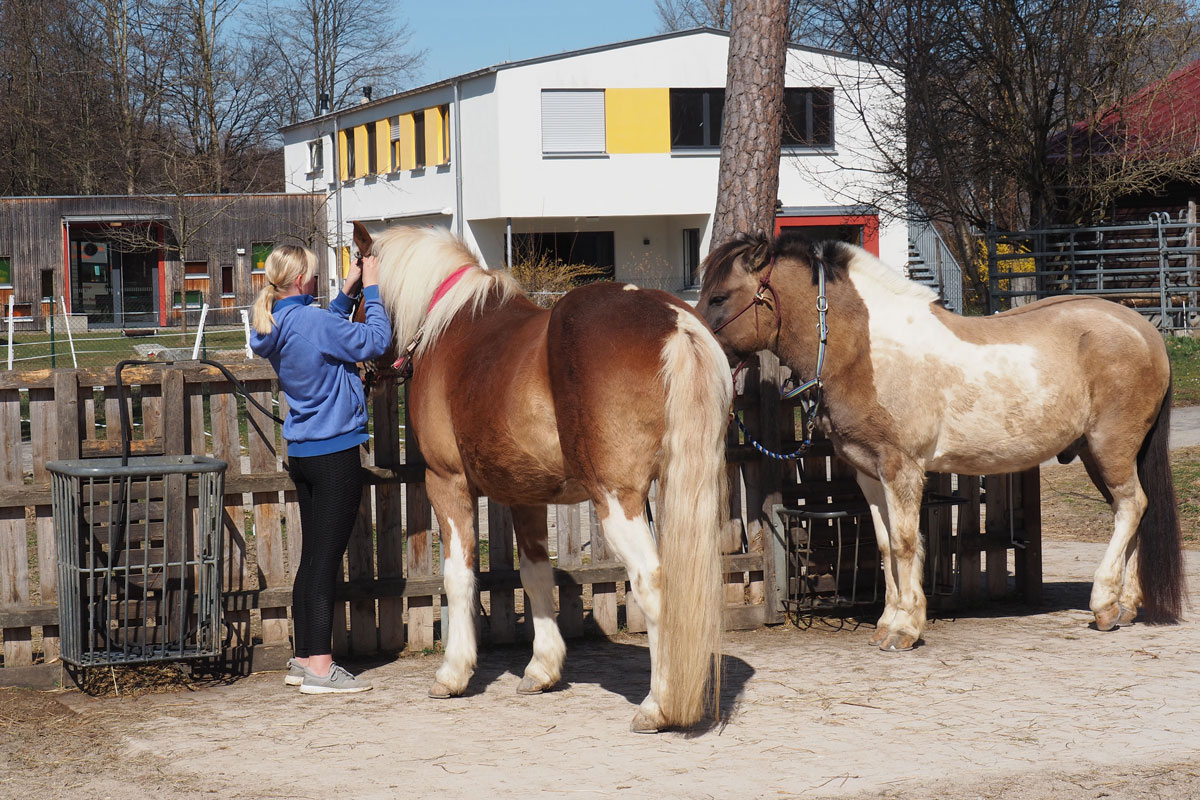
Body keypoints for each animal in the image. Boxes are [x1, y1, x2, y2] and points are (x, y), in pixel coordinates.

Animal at [360, 224, 729, 734]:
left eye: (355, 291)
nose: (362, 370)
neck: (450, 326)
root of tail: (673, 320)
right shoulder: (526, 496)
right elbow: (534, 575)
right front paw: (542, 668)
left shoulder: (446, 482)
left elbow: (459, 576)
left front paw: (453, 672)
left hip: (617, 499)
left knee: (652, 581)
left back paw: (658, 705)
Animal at [700, 230, 1185, 652]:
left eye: (720, 297)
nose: (703, 351)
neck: (865, 349)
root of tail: (1144, 329)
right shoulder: (869, 473)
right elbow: (884, 544)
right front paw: (888, 622)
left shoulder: (902, 468)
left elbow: (904, 542)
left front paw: (905, 629)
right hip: (1100, 454)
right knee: (1132, 511)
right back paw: (1124, 606)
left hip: (1110, 448)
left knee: (1131, 507)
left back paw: (1103, 604)